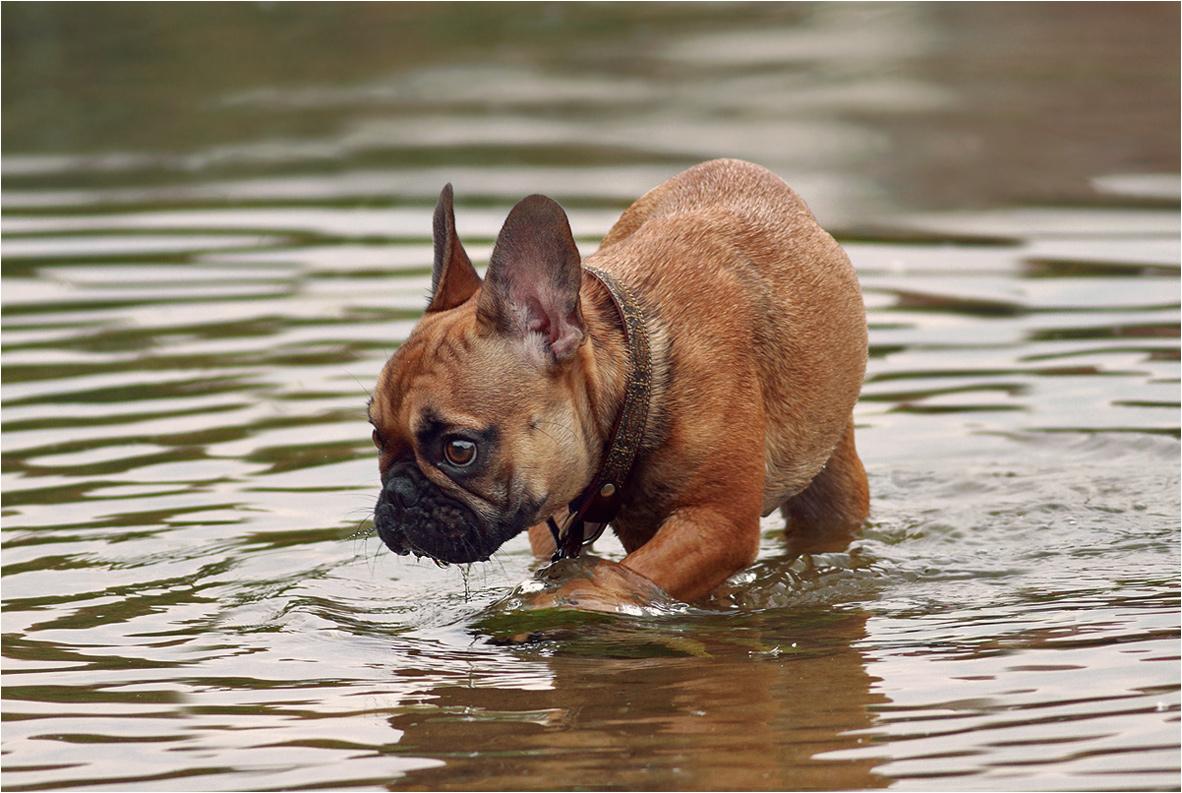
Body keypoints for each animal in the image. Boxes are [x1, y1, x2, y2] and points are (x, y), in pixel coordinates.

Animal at [368, 160, 869, 609]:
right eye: (376, 436)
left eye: (459, 450)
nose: (397, 495)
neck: (636, 384)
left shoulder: (717, 526)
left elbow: (614, 579)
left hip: (831, 482)